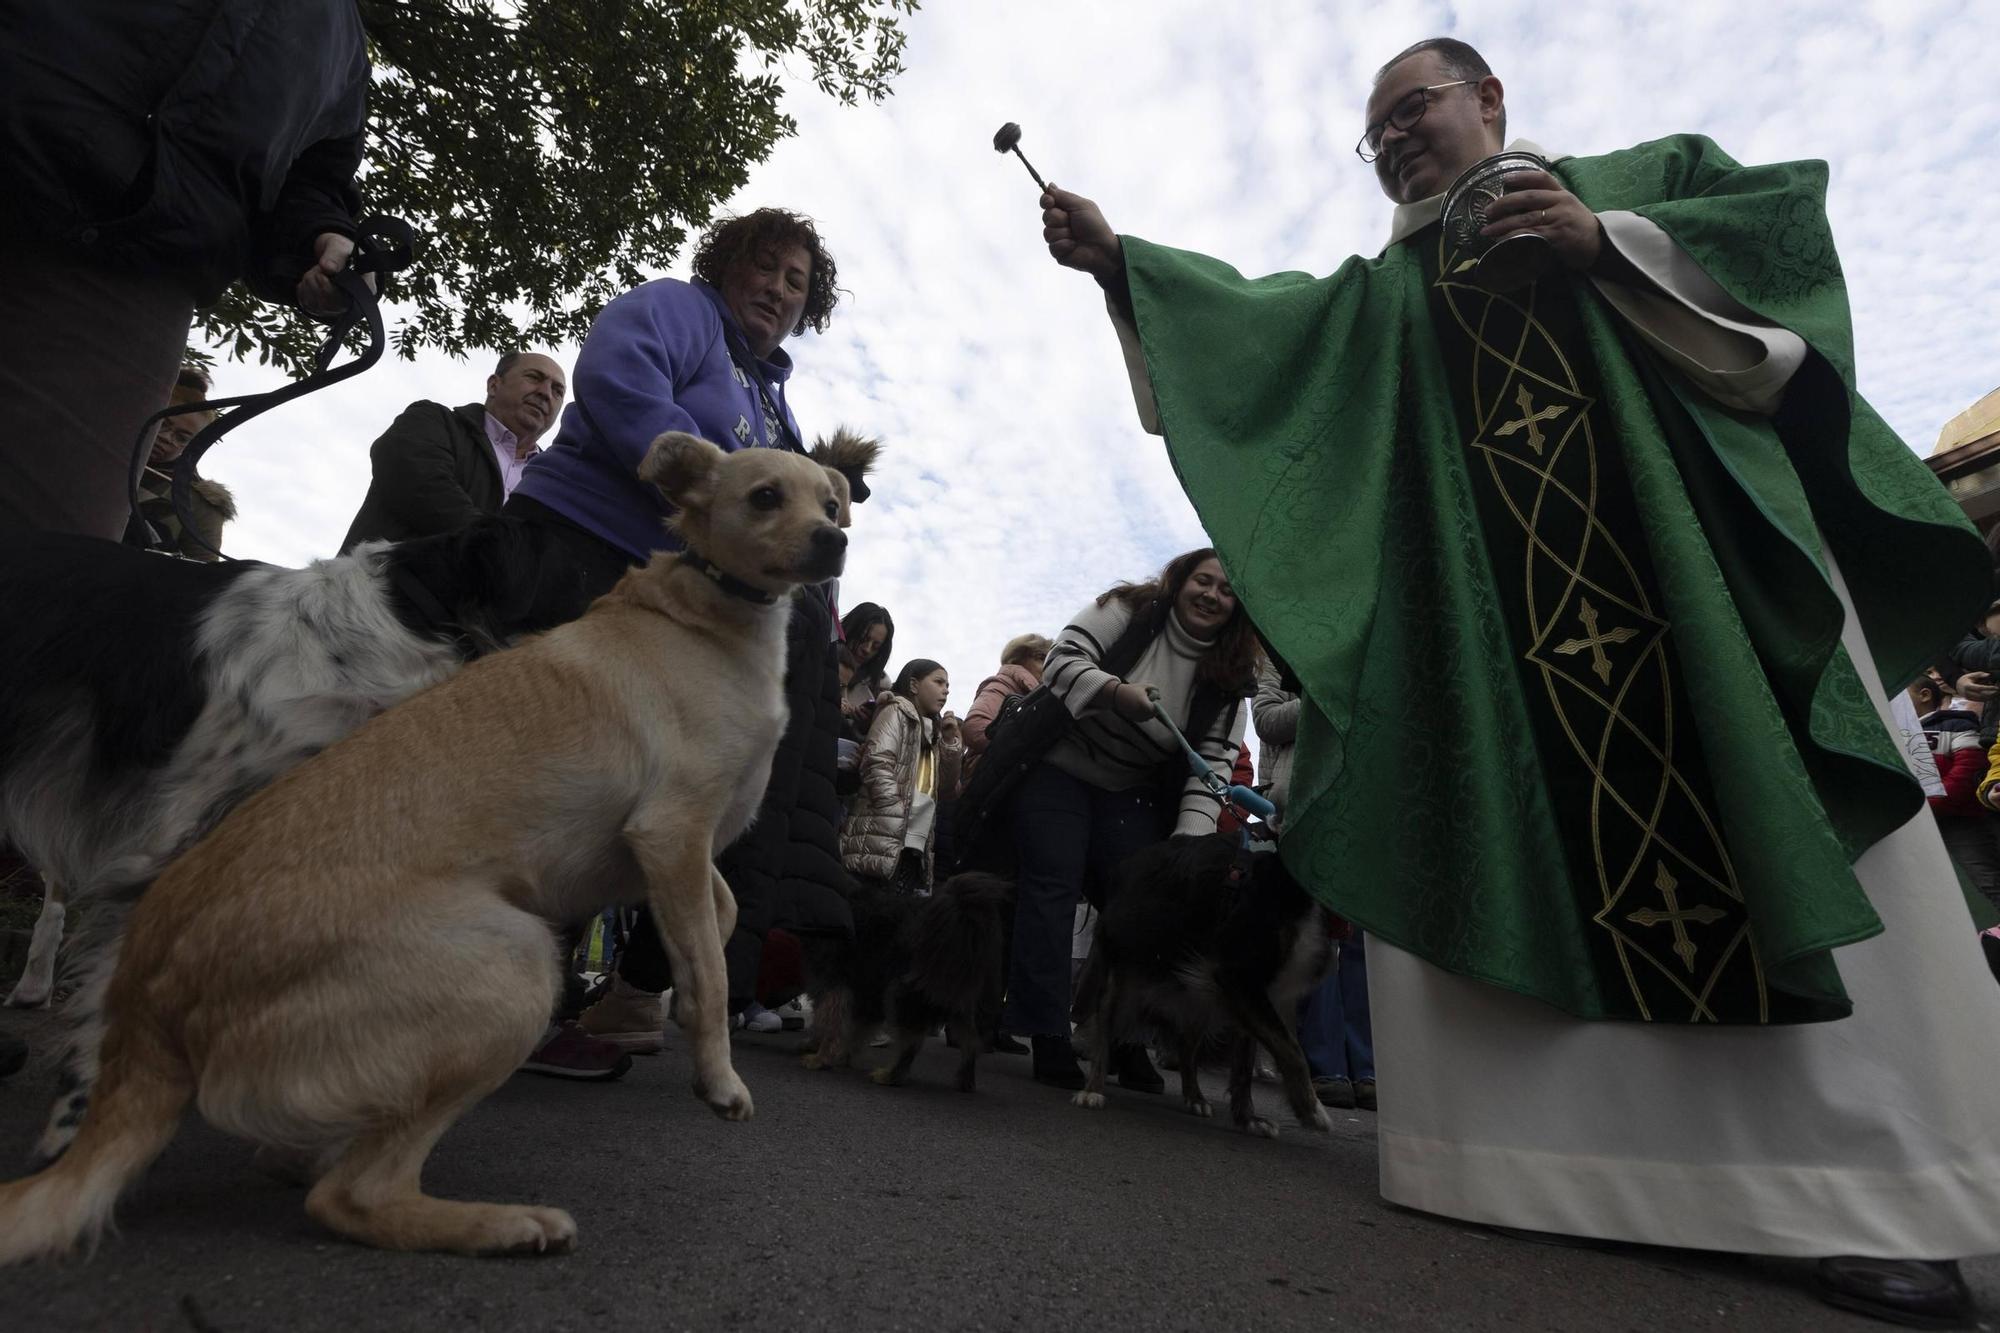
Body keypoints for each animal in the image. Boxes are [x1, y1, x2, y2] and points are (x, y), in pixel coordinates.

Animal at [796, 872, 1016, 1088]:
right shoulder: (867, 993)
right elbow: (854, 1031)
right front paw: (840, 1055)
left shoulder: (835, 985)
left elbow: (829, 1024)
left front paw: (820, 1057)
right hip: (955, 1002)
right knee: (970, 1041)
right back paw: (965, 1081)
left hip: (900, 994)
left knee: (911, 1045)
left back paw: (889, 1076)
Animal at [1072, 832, 1336, 1128]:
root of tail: (1129, 864)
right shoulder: (1237, 975)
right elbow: (1292, 1050)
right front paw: (1311, 1110)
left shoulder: (1259, 994)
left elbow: (1247, 1061)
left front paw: (1248, 1118)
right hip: (1125, 974)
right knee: (1104, 1031)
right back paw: (1093, 1090)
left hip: (1198, 996)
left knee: (1187, 1048)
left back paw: (1195, 1097)